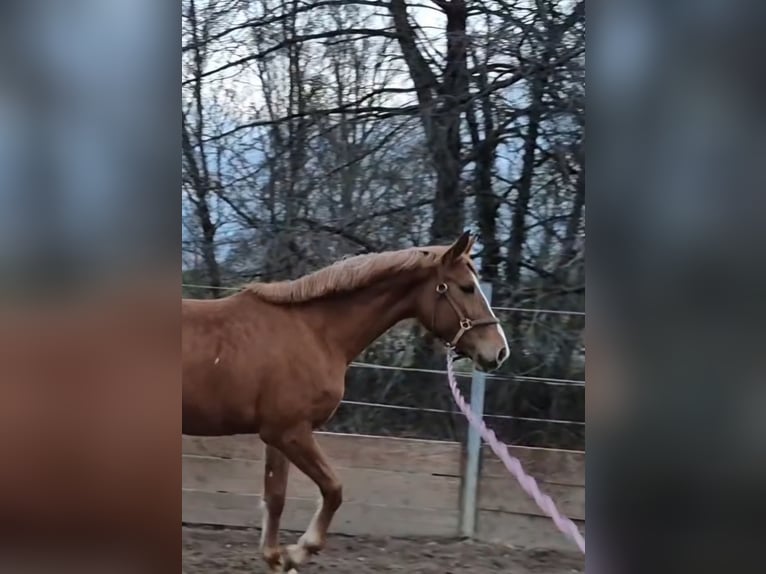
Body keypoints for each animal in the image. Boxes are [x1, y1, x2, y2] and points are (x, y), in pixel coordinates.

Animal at [181, 231, 510, 573]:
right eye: (467, 287)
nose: (499, 351)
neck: (315, 332)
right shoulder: (290, 432)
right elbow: (333, 489)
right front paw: (300, 551)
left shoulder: (276, 435)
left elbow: (276, 497)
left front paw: (277, 559)